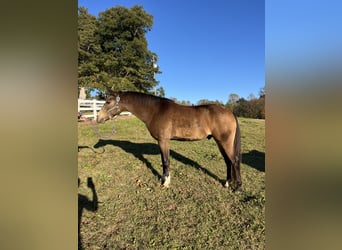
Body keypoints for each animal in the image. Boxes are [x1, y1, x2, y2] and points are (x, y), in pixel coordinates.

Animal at [95, 92, 240, 191]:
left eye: (108, 102)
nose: (98, 118)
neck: (155, 111)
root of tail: (230, 112)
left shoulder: (163, 141)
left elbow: (165, 161)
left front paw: (165, 183)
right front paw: (165, 180)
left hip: (225, 142)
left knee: (234, 161)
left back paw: (237, 188)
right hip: (220, 142)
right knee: (228, 162)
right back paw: (227, 183)